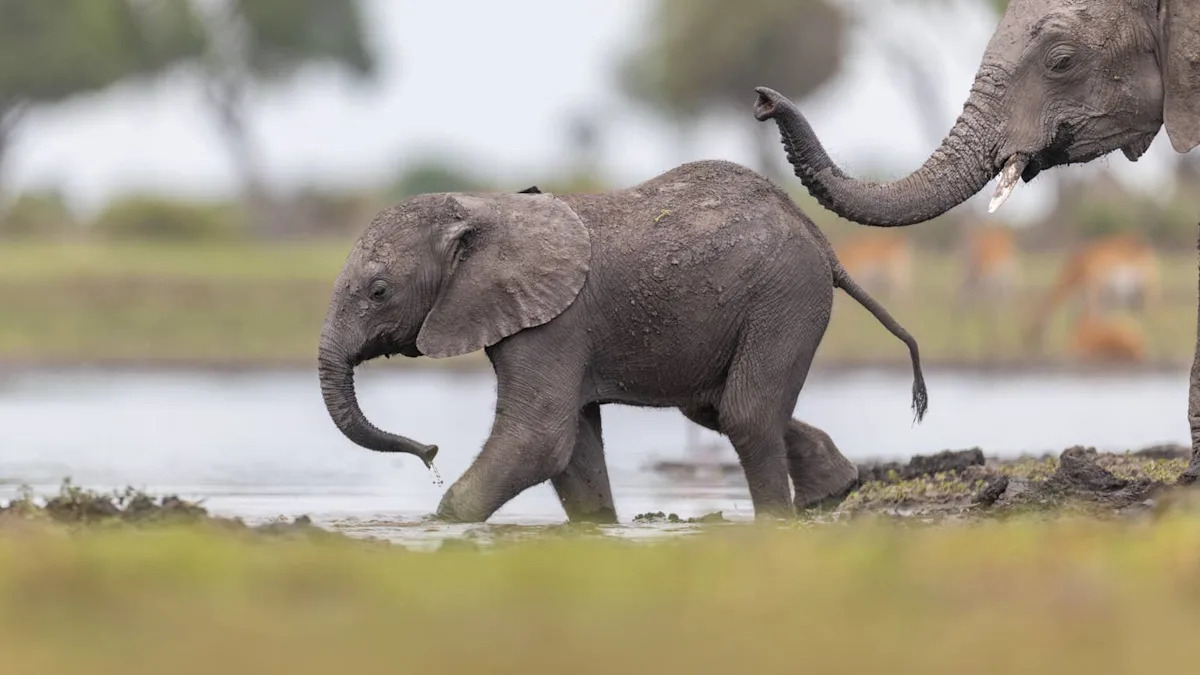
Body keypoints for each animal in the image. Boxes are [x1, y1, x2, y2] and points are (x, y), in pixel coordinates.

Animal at [318, 160, 928, 523]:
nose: (429, 452)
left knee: (745, 414)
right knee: (715, 409)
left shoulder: (553, 324)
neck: (483, 207)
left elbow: (538, 440)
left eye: (378, 291)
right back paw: (836, 490)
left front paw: (437, 526)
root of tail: (820, 239)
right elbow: (574, 449)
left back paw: (779, 522)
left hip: (784, 298)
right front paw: (600, 532)